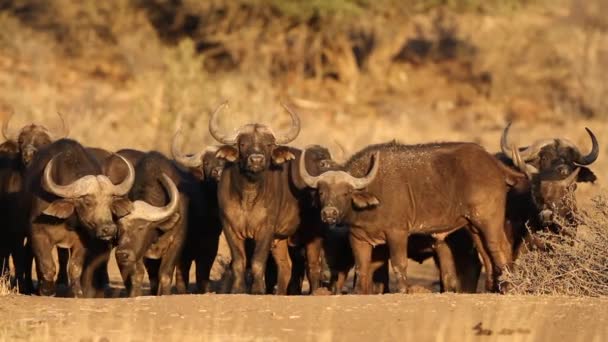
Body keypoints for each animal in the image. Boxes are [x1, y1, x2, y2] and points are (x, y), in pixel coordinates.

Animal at [22, 139, 135, 296]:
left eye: (110, 202)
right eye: (87, 201)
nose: (109, 229)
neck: (67, 221)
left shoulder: (83, 240)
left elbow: (75, 267)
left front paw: (76, 292)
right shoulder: (37, 233)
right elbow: (47, 265)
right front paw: (47, 290)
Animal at [300, 140, 524, 292]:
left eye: (346, 192)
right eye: (322, 192)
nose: (329, 214)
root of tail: (493, 163)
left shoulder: (397, 233)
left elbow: (399, 264)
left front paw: (403, 290)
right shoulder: (357, 237)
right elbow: (362, 268)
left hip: (488, 221)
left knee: (500, 248)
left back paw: (508, 287)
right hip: (473, 226)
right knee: (486, 254)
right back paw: (493, 288)